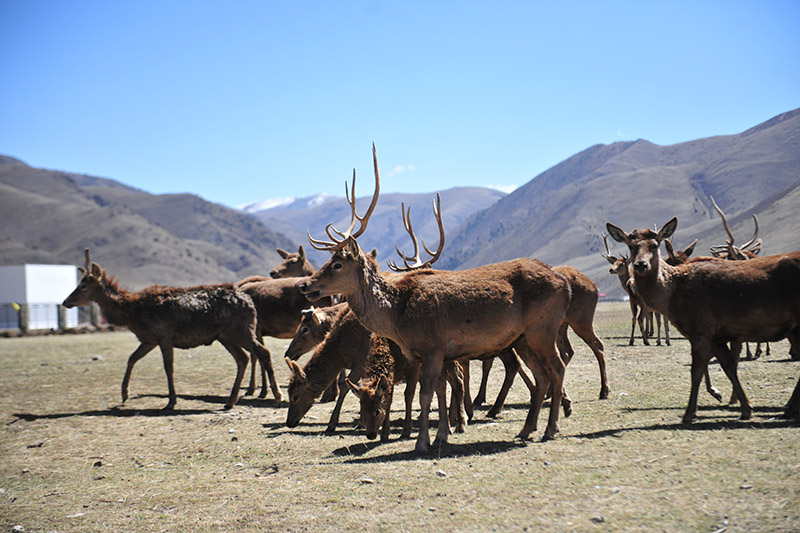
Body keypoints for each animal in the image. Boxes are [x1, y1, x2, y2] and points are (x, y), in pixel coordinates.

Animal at [62, 247, 268, 410]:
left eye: (83, 285)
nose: (66, 302)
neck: (132, 313)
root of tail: (250, 302)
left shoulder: (164, 336)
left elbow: (168, 367)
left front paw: (171, 402)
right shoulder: (149, 339)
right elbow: (132, 358)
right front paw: (124, 394)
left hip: (241, 330)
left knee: (261, 351)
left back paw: (266, 394)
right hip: (225, 336)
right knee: (243, 358)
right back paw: (230, 401)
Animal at [298, 145, 568, 454]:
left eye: (337, 264)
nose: (305, 284)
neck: (397, 318)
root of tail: (563, 282)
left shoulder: (432, 348)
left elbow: (425, 394)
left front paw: (422, 442)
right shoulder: (431, 354)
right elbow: (439, 391)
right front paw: (441, 435)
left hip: (543, 328)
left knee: (557, 368)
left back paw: (550, 429)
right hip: (522, 338)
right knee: (541, 375)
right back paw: (526, 429)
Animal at [608, 218, 800, 422]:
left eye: (654, 245)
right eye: (631, 246)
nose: (640, 265)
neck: (672, 295)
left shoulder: (701, 329)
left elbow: (696, 371)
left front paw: (690, 413)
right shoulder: (716, 336)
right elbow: (729, 367)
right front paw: (746, 407)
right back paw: (789, 408)